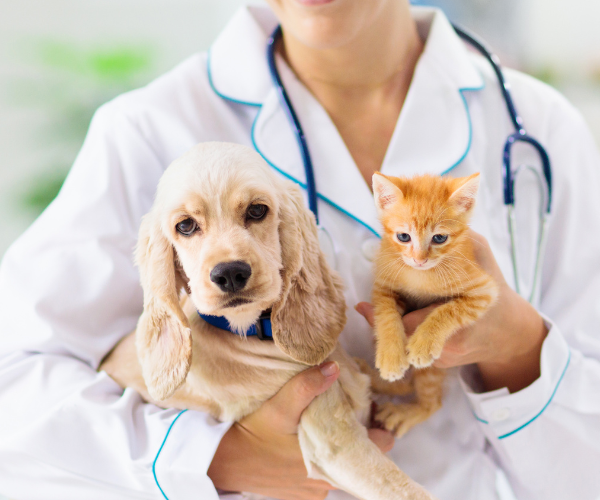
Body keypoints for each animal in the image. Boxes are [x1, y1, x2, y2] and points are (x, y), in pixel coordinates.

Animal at [101, 142, 434, 500]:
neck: (255, 332)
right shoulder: (334, 443)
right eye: (186, 226)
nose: (230, 274)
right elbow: (409, 492)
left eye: (257, 211)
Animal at [370, 173, 496, 438]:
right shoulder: (383, 285)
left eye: (439, 238)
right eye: (403, 236)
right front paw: (391, 356)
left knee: (432, 402)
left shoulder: (484, 290)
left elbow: (449, 310)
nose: (420, 260)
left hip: (432, 371)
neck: (420, 276)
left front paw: (424, 342)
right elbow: (385, 315)